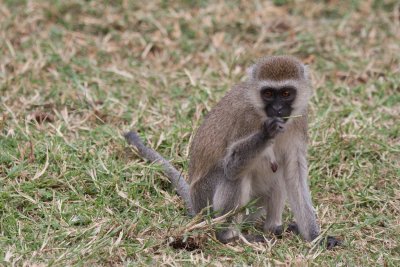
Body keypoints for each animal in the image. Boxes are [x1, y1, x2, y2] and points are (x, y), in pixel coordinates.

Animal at [126, 55, 340, 250]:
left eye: (286, 93)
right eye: (268, 93)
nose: (278, 109)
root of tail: (195, 205)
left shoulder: (300, 119)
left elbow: (294, 174)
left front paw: (315, 238)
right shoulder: (245, 119)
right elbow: (231, 166)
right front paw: (266, 134)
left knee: (278, 175)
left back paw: (273, 229)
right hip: (207, 201)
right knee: (234, 177)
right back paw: (228, 237)